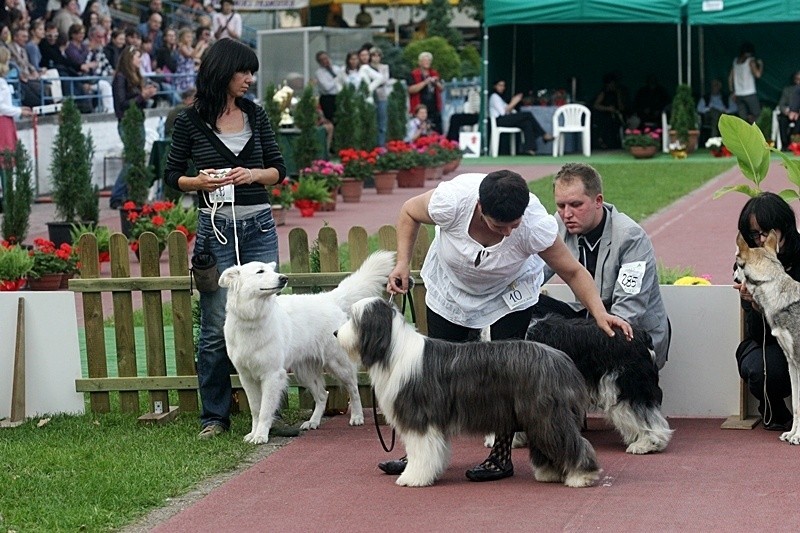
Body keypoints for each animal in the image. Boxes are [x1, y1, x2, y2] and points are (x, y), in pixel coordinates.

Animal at [217, 251, 396, 442]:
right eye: (260, 272)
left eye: (271, 271)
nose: (284, 278)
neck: (251, 318)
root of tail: (328, 298)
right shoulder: (246, 378)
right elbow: (256, 409)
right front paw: (253, 434)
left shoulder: (272, 375)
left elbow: (265, 410)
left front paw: (261, 436)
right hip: (304, 373)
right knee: (323, 395)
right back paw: (313, 422)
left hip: (338, 365)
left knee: (353, 389)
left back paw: (357, 417)